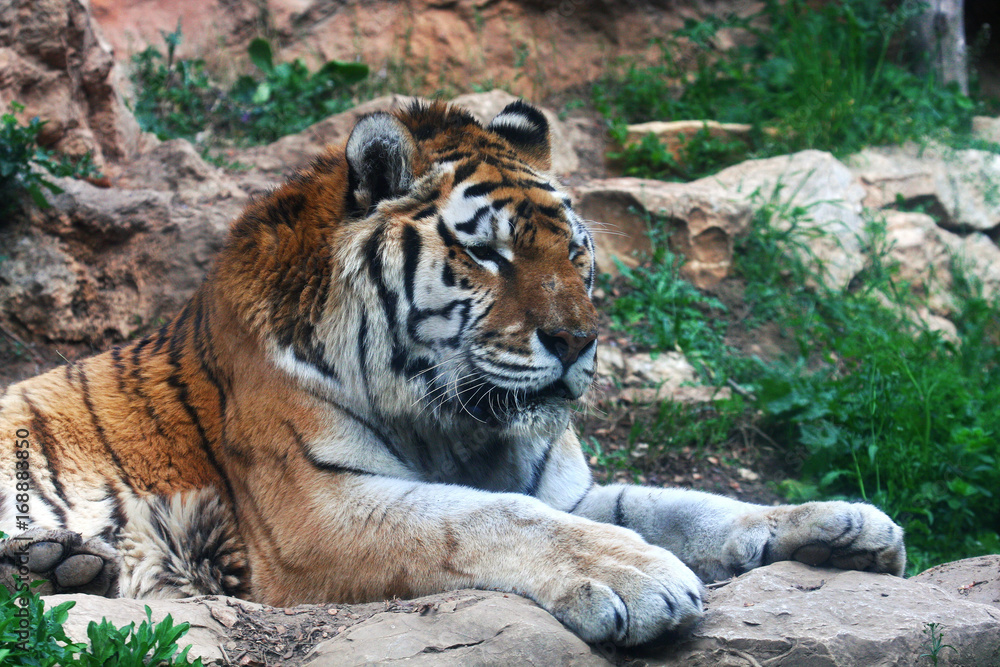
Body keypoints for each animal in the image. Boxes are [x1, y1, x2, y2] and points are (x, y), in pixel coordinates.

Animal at [0, 100, 905, 646]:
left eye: (575, 253)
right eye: (489, 254)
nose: (578, 340)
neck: (459, 424)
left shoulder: (567, 486)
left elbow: (689, 505)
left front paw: (844, 527)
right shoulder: (315, 510)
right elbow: (485, 518)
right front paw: (639, 576)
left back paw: (62, 563)